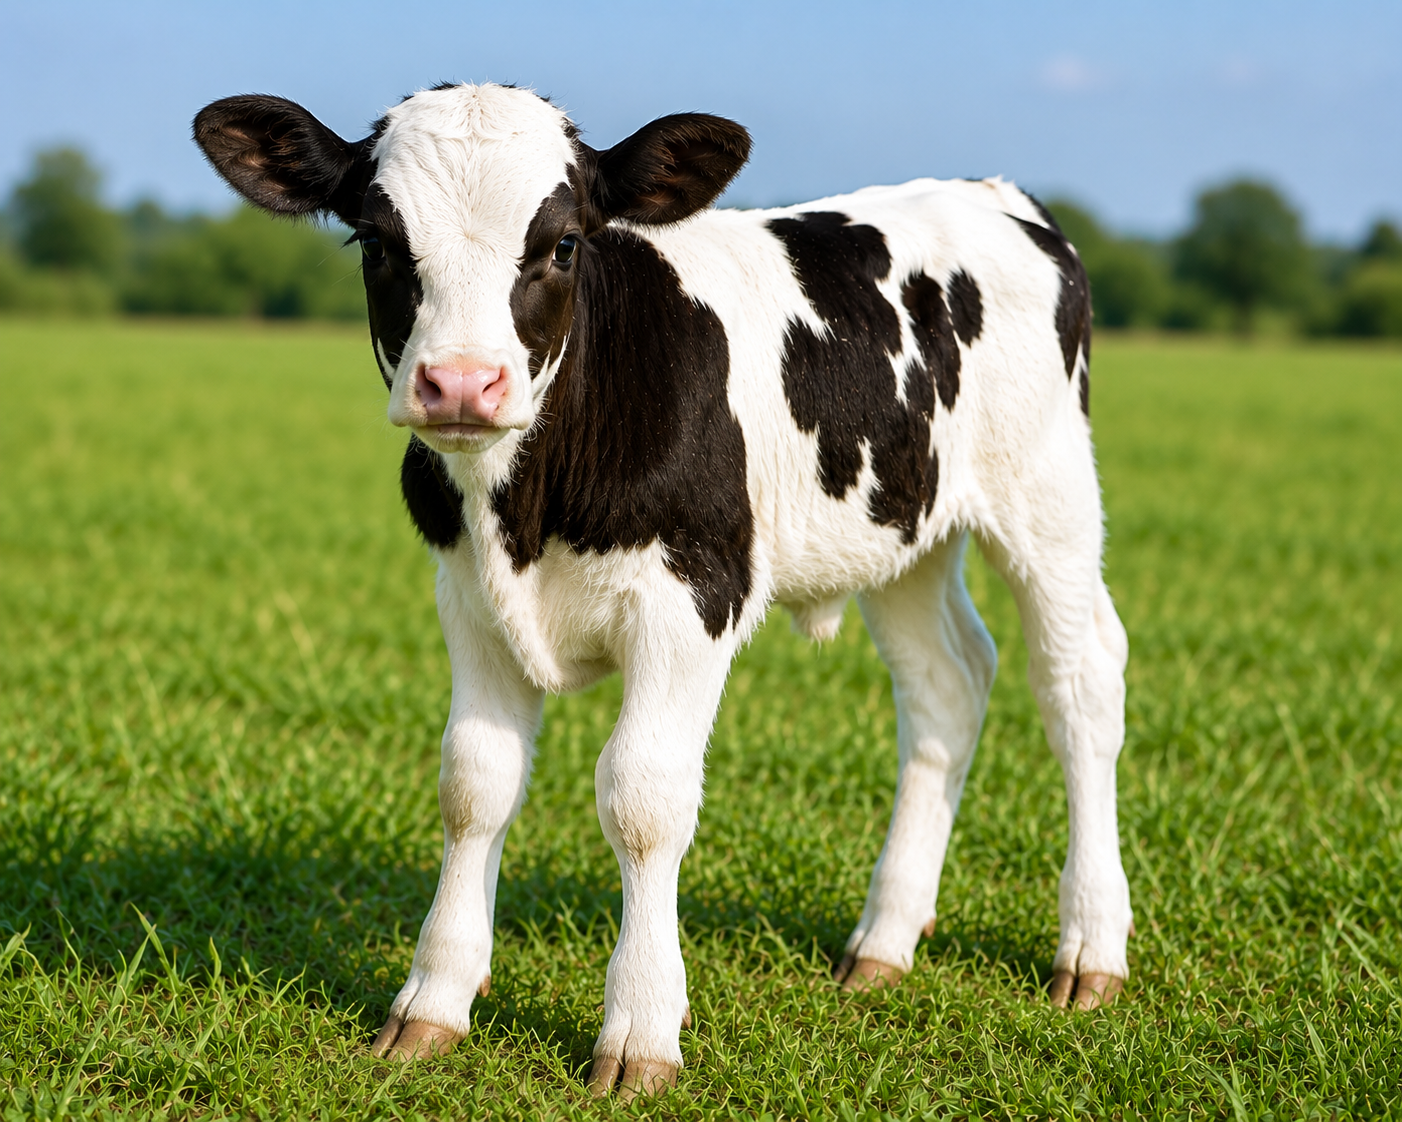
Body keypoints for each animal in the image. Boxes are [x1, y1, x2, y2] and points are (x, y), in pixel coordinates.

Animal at [194, 82, 1133, 1099]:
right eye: (373, 238)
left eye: (565, 242)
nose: (462, 383)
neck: (526, 507)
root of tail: (989, 191)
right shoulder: (467, 598)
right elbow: (473, 784)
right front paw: (433, 1002)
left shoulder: (692, 594)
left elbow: (642, 798)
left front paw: (640, 1029)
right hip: (902, 536)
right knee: (946, 688)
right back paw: (883, 942)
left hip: (1050, 498)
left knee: (1080, 685)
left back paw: (1091, 948)